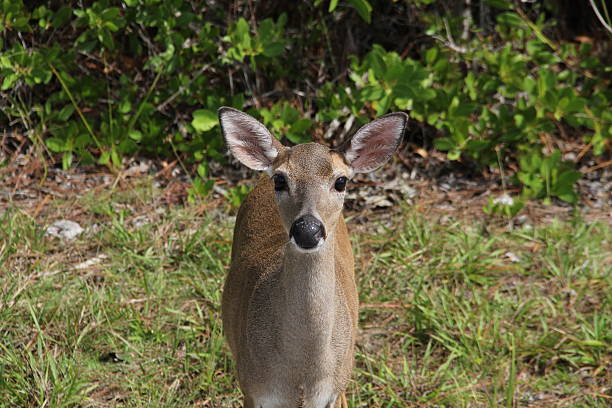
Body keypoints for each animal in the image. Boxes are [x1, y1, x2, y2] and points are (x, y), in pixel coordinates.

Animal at [218, 107, 408, 406]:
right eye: (280, 179)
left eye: (341, 181)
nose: (307, 229)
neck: (301, 377)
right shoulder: (251, 389)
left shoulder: (335, 392)